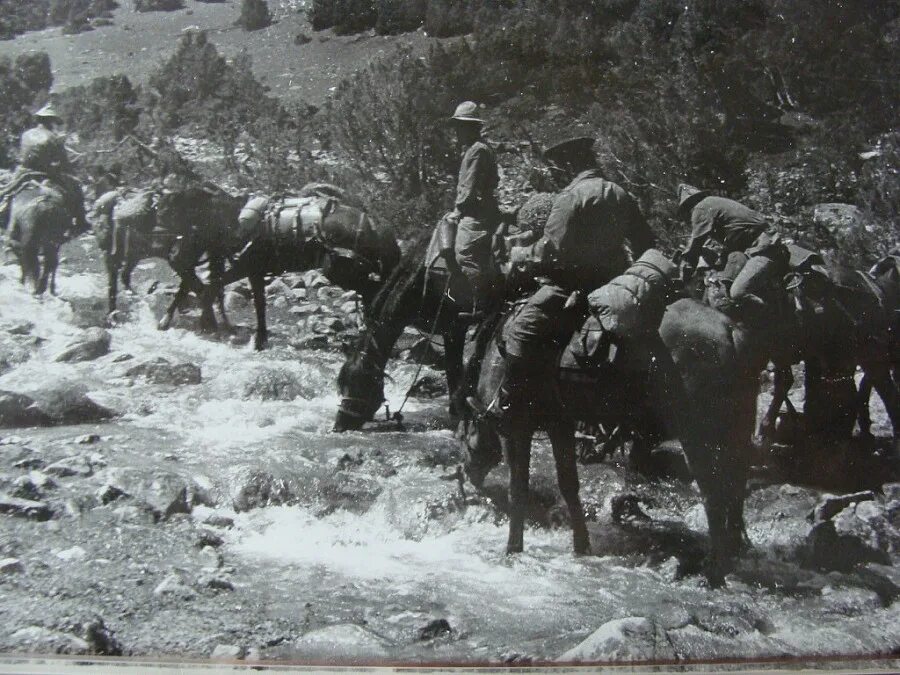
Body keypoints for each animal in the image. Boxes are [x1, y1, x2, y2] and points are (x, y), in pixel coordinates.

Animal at [460, 298, 768, 588]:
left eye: (464, 439)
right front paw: (582, 546)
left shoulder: (516, 429)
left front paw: (513, 549)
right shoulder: (560, 425)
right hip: (734, 430)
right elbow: (569, 486)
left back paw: (714, 572)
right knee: (736, 486)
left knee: (714, 494)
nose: (467, 474)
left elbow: (518, 489)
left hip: (698, 433)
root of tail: (730, 330)